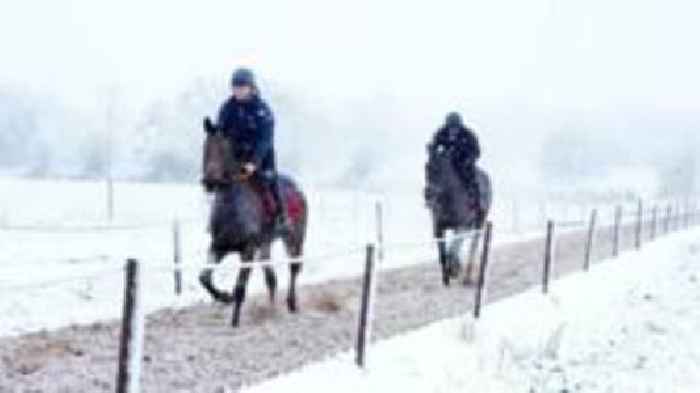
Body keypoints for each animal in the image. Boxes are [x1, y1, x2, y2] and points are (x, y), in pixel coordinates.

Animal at [197, 118, 306, 326]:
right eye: (205, 147)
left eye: (224, 149)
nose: (209, 182)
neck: (232, 209)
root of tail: (298, 190)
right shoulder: (218, 246)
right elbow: (204, 278)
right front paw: (224, 296)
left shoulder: (247, 250)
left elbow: (240, 288)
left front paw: (234, 321)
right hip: (265, 246)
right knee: (271, 278)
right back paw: (271, 310)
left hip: (294, 239)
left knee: (294, 268)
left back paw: (292, 303)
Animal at [424, 146, 490, 284]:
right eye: (426, 167)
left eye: (439, 169)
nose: (427, 194)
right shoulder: (438, 228)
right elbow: (442, 252)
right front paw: (447, 276)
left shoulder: (461, 226)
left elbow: (453, 247)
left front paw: (454, 269)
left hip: (479, 223)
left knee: (473, 245)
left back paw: (467, 277)